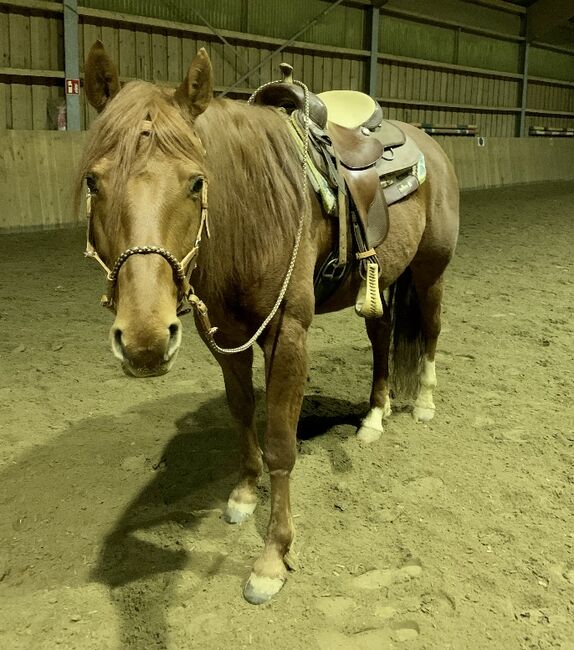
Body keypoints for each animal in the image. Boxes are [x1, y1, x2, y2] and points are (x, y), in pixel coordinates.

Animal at [80, 44, 460, 604]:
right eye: (93, 180)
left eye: (197, 182)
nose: (144, 341)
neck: (252, 215)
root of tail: (429, 142)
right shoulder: (223, 336)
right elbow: (242, 412)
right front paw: (242, 494)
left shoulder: (289, 335)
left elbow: (282, 441)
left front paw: (273, 558)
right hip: (381, 281)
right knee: (383, 336)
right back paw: (375, 416)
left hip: (431, 270)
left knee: (430, 329)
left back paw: (425, 404)